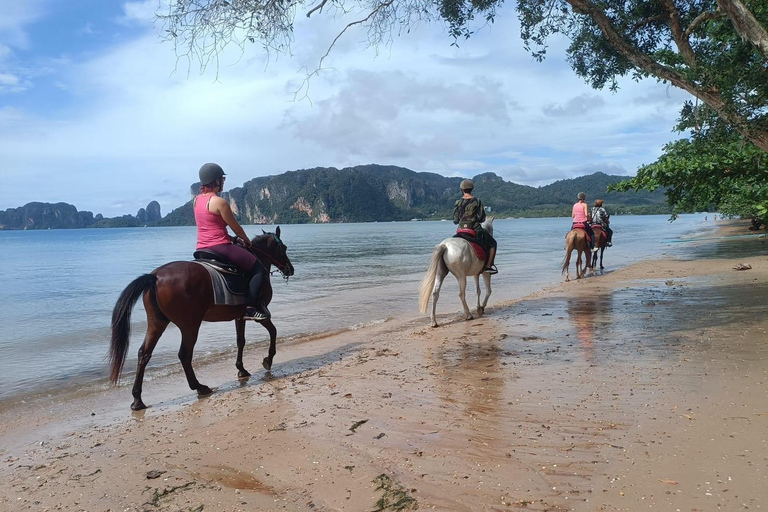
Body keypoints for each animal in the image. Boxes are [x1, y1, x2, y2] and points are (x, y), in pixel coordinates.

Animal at [105, 230, 292, 410]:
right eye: (284, 248)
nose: (290, 269)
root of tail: (155, 277)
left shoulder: (240, 316)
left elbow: (241, 341)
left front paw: (241, 369)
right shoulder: (260, 314)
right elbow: (273, 331)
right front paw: (268, 360)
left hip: (157, 323)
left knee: (144, 354)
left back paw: (137, 400)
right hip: (190, 325)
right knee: (184, 354)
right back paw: (199, 387)